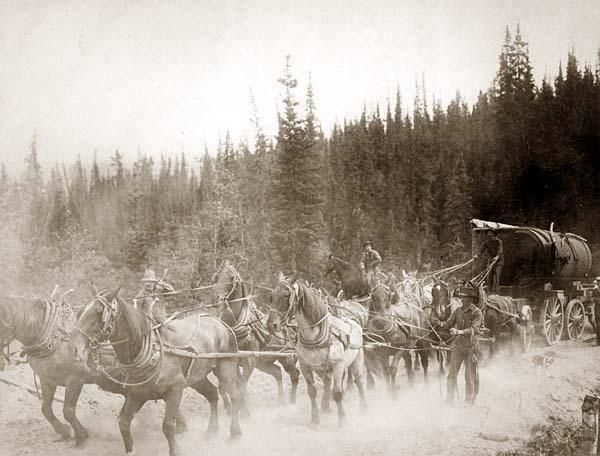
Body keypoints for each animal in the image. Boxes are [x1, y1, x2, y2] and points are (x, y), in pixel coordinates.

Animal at [0, 292, 127, 446]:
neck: (53, 339)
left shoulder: (75, 379)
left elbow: (68, 411)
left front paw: (81, 435)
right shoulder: (47, 380)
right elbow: (46, 409)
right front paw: (64, 431)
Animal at [68, 288, 241, 456]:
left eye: (98, 312)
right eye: (80, 312)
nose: (74, 349)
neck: (152, 351)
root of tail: (219, 322)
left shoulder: (175, 390)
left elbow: (167, 425)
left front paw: (176, 450)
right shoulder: (136, 394)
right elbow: (123, 423)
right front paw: (131, 450)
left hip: (227, 369)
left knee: (234, 396)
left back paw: (235, 432)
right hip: (197, 378)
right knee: (212, 394)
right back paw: (212, 431)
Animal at [213, 260, 302, 414]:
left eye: (231, 278)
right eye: (217, 277)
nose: (219, 300)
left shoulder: (250, 360)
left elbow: (241, 385)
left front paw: (244, 411)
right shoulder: (233, 361)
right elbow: (228, 386)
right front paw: (234, 408)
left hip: (287, 358)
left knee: (294, 375)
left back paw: (292, 402)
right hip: (263, 362)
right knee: (277, 372)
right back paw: (281, 400)